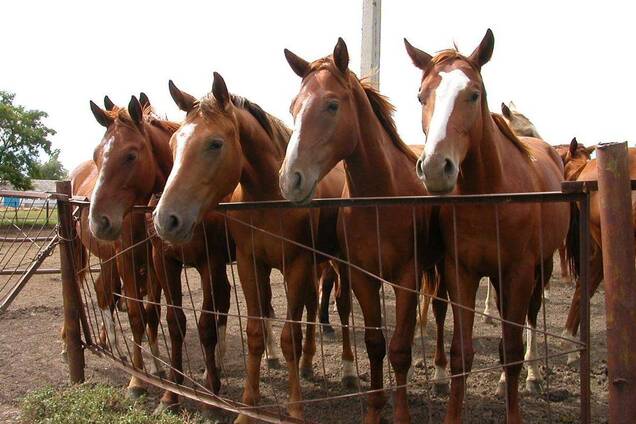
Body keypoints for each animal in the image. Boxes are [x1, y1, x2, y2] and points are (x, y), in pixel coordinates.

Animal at [87, 96, 236, 410]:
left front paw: (211, 393)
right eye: (96, 155)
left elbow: (204, 324)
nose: (98, 221)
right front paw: (166, 391)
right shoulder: (163, 261)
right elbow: (170, 321)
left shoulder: (210, 262)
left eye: (130, 155)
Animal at [154, 74, 352, 422]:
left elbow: (289, 338)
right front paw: (247, 408)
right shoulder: (250, 264)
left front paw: (295, 410)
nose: (166, 220)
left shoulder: (297, 264)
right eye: (173, 144)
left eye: (215, 143)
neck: (270, 199)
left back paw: (347, 371)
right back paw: (308, 365)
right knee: (312, 308)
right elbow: (256, 333)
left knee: (340, 307)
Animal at [280, 38, 444, 422]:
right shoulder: (362, 277)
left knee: (443, 314)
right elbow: (375, 344)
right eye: (294, 107)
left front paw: (401, 414)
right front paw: (373, 409)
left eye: (332, 104)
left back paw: (443, 376)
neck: (381, 198)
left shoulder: (407, 278)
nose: (290, 180)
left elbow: (399, 349)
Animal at [410, 29, 568, 420]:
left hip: (540, 267)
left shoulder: (519, 272)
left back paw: (533, 377)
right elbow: (461, 353)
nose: (435, 167)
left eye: (473, 93)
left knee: (530, 320)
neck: (489, 196)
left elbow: (511, 351)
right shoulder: (460, 272)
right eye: (421, 96)